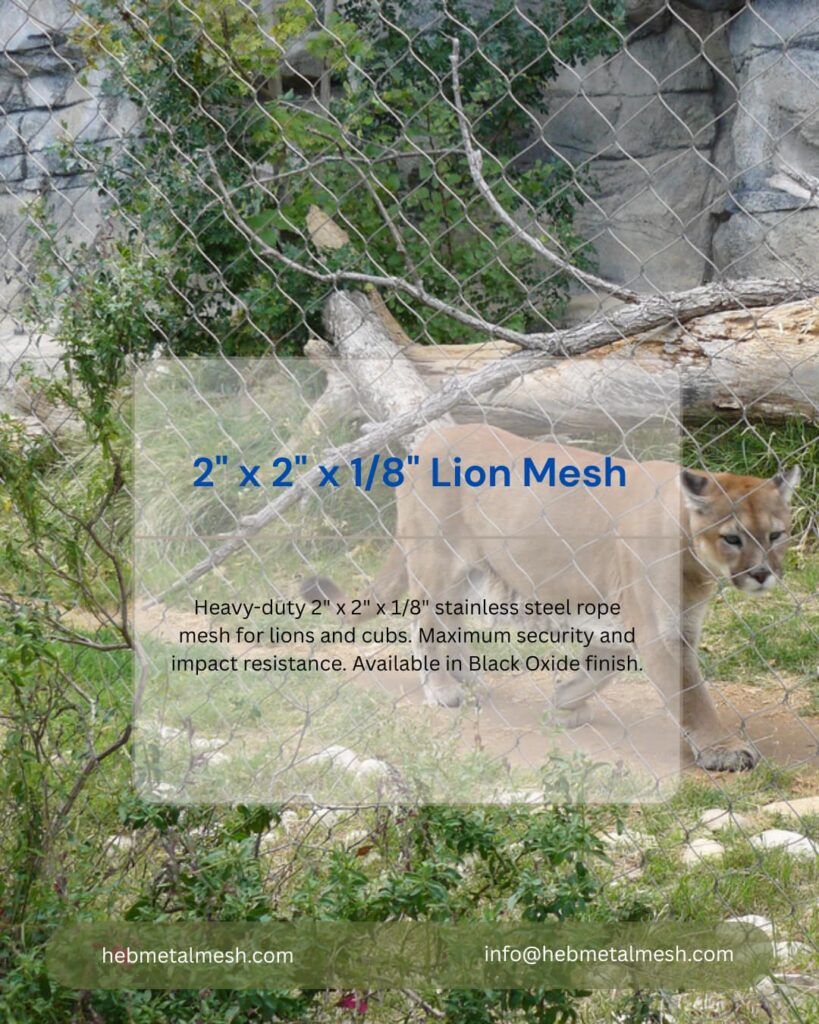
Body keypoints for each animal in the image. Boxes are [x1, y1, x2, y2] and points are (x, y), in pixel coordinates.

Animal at [304, 424, 800, 773]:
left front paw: (564, 702)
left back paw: (469, 679)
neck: (692, 554)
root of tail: (430, 439)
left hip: (471, 571)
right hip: (436, 561)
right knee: (424, 624)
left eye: (776, 534)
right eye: (733, 537)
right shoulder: (657, 629)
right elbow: (691, 693)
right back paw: (443, 690)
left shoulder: (665, 623)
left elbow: (606, 664)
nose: (762, 573)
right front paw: (724, 750)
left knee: (452, 625)